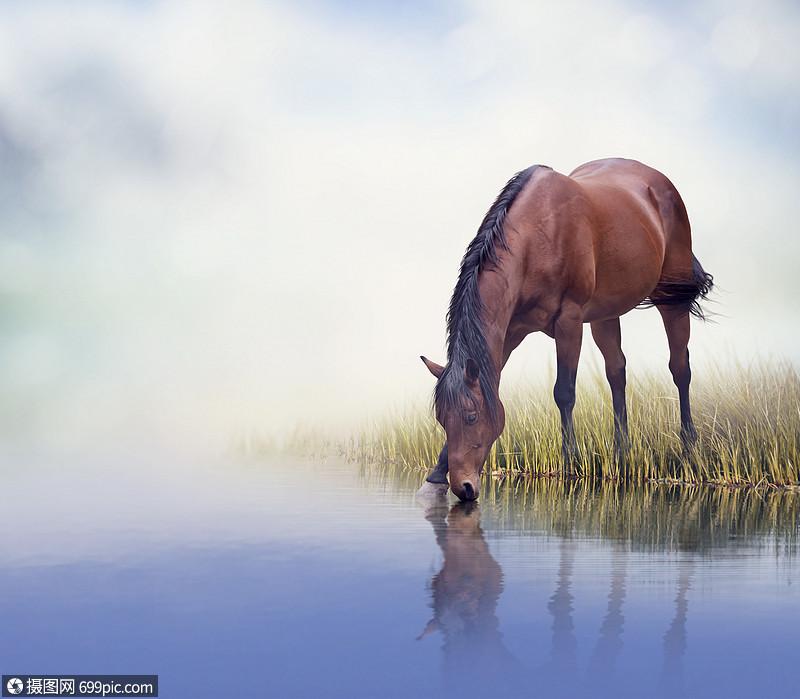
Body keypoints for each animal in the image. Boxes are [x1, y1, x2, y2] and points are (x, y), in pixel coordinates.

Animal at [420, 158, 713, 501]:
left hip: (672, 299)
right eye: (442, 418)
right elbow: (491, 381)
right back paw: (622, 452)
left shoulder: (569, 322)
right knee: (617, 371)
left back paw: (689, 446)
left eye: (471, 417)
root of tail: (660, 183)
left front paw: (570, 463)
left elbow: (564, 392)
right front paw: (436, 474)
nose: (463, 488)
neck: (537, 238)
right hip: (605, 314)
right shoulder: (509, 332)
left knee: (680, 368)